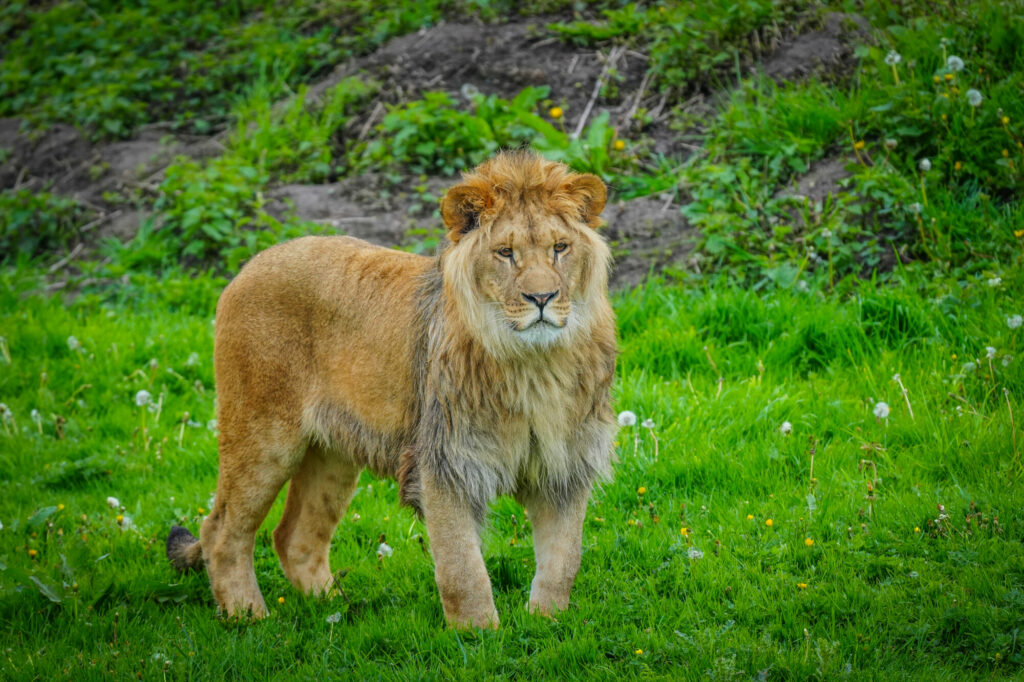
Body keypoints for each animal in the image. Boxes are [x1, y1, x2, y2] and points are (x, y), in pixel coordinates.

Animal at [166, 150, 617, 628]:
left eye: (560, 248)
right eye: (505, 253)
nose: (542, 298)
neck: (534, 364)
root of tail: (248, 266)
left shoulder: (566, 465)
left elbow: (563, 560)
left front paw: (548, 623)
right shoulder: (446, 464)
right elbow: (462, 568)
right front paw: (480, 635)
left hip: (333, 455)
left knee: (294, 535)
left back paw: (337, 608)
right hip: (262, 436)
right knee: (222, 530)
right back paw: (249, 616)